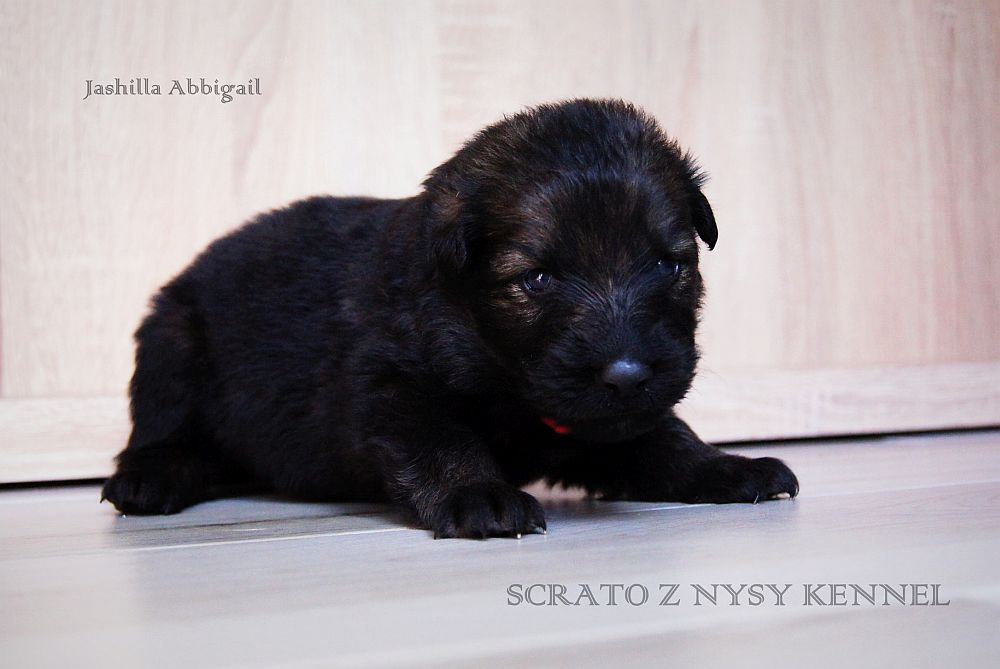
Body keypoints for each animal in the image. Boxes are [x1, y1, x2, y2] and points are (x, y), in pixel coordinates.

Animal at [101, 99, 799, 538]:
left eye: (666, 264)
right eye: (537, 278)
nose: (627, 374)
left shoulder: (609, 416)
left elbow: (661, 436)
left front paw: (726, 466)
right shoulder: (394, 383)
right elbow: (442, 440)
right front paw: (477, 494)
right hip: (171, 341)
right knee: (163, 433)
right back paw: (148, 480)